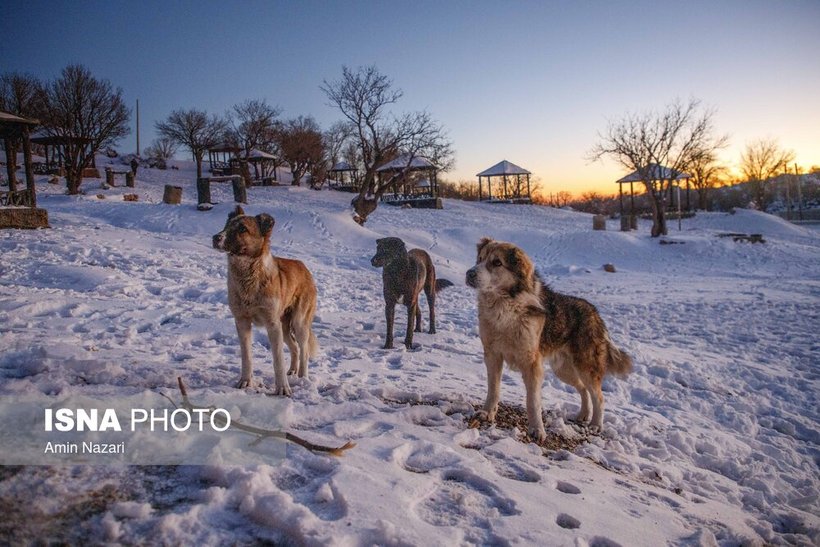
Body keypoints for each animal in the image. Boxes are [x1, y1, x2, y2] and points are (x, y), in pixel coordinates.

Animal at [213, 206, 318, 394]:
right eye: (227, 225)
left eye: (242, 229)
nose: (215, 238)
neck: (249, 278)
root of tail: (304, 267)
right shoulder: (242, 321)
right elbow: (246, 356)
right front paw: (245, 382)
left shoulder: (272, 324)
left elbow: (278, 360)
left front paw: (283, 389)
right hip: (285, 327)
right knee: (295, 348)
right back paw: (292, 372)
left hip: (299, 323)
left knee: (304, 350)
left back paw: (302, 378)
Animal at [464, 238, 632, 438]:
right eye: (480, 259)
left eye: (497, 262)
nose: (469, 273)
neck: (505, 308)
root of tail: (595, 313)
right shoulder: (492, 355)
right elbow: (493, 389)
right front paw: (487, 412)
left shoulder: (532, 364)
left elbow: (533, 401)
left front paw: (537, 429)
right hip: (564, 370)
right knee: (583, 388)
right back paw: (583, 415)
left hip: (585, 367)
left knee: (598, 396)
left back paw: (596, 425)